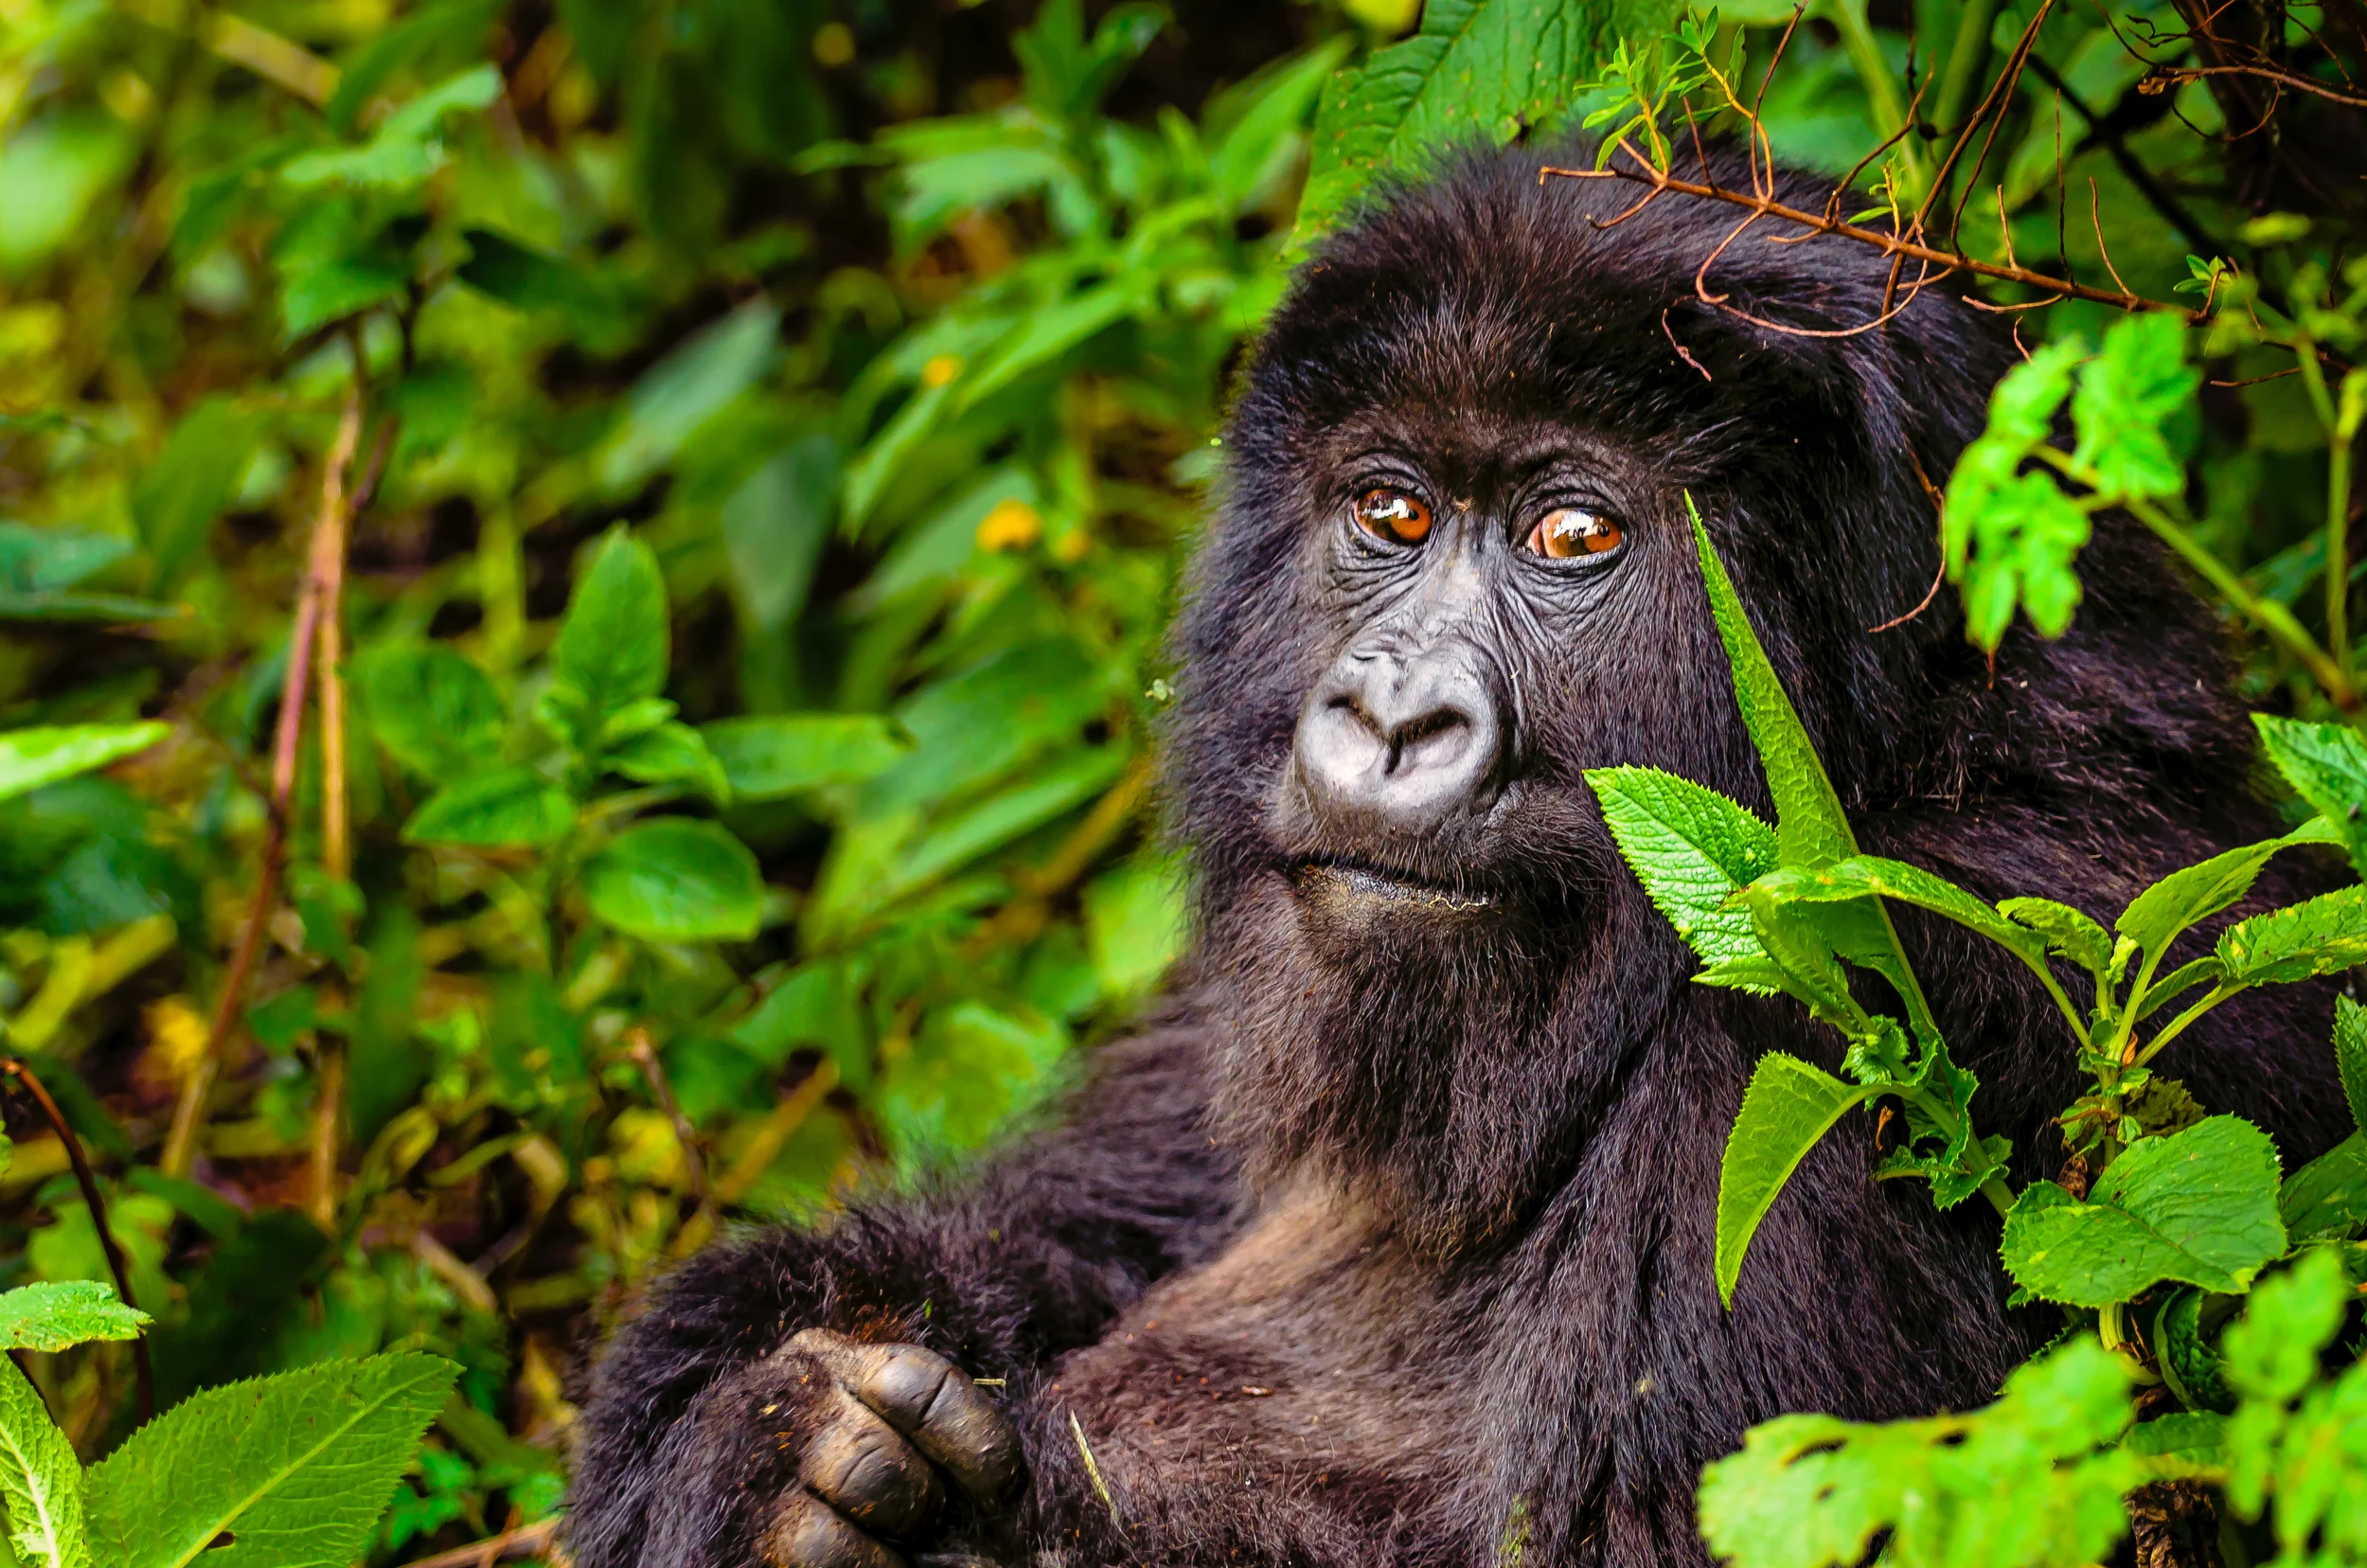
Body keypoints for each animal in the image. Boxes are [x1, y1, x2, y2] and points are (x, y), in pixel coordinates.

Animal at [563, 142, 2354, 1568]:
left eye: (1574, 537)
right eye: (1393, 514)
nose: (1388, 714)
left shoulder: (1901, 996)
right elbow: (1040, 1241)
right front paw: (759, 1431)